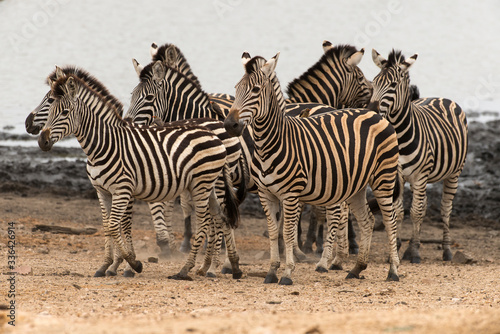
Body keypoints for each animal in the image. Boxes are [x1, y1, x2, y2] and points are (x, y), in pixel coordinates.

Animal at [38, 70, 243, 280]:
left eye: (64, 112)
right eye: (50, 109)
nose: (42, 141)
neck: (103, 145)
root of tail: (214, 135)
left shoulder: (123, 190)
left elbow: (116, 225)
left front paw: (132, 264)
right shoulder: (102, 191)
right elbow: (107, 226)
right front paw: (106, 265)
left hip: (202, 184)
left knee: (204, 221)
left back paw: (187, 269)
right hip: (210, 183)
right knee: (221, 216)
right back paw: (226, 267)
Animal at [225, 52, 400, 284]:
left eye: (255, 90)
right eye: (236, 88)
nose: (229, 125)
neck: (269, 144)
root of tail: (375, 115)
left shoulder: (291, 194)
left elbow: (288, 232)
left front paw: (287, 272)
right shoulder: (266, 194)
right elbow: (273, 232)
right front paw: (272, 271)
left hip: (383, 178)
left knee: (389, 220)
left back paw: (393, 270)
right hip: (357, 184)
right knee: (367, 220)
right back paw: (357, 268)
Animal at [368, 49, 468, 264]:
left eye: (393, 85)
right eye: (374, 82)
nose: (370, 111)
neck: (400, 135)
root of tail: (442, 98)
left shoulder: (420, 175)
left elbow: (415, 213)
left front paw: (414, 252)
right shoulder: (397, 175)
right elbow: (399, 212)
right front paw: (397, 249)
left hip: (454, 173)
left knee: (445, 209)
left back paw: (447, 250)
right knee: (424, 204)